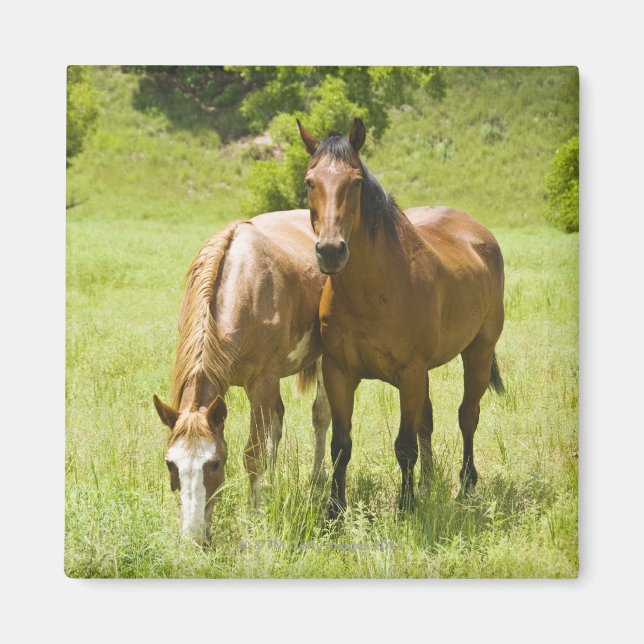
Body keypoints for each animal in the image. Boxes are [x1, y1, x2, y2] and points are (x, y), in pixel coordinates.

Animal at [153, 210, 331, 543]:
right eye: (171, 464)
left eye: (214, 464)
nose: (194, 537)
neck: (244, 287)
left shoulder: (261, 382)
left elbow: (252, 454)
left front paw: (254, 515)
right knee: (278, 418)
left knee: (321, 417)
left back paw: (316, 481)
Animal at [297, 117, 505, 518]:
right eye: (309, 181)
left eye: (355, 181)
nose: (330, 251)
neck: (374, 292)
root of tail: (479, 234)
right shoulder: (338, 372)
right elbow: (340, 445)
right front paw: (335, 511)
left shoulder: (410, 372)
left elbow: (404, 445)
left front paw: (406, 507)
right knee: (429, 420)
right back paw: (428, 482)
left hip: (478, 352)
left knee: (467, 415)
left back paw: (465, 485)